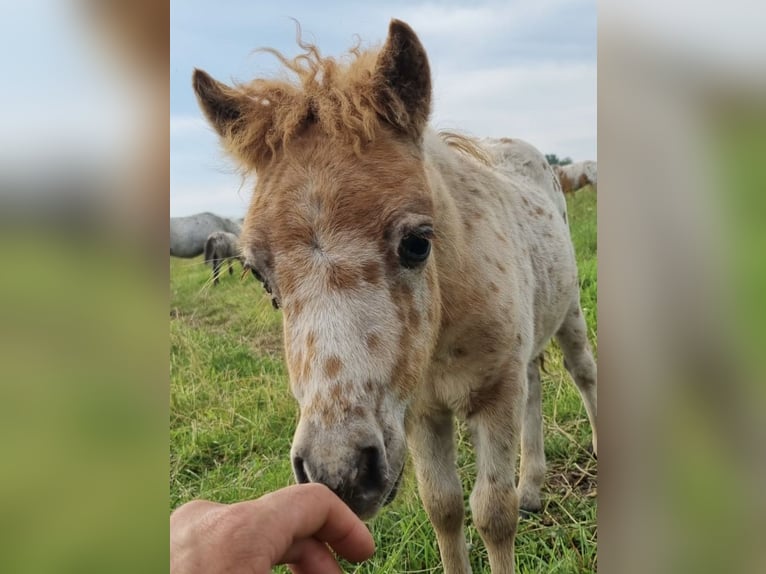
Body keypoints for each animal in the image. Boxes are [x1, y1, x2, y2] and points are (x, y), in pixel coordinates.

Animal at [194, 19, 600, 574]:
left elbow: (493, 513)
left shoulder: (495, 393)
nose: (339, 472)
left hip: (570, 312)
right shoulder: (423, 410)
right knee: (536, 383)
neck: (446, 333)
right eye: (259, 275)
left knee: (583, 372)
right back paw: (533, 489)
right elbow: (444, 506)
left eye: (417, 243)